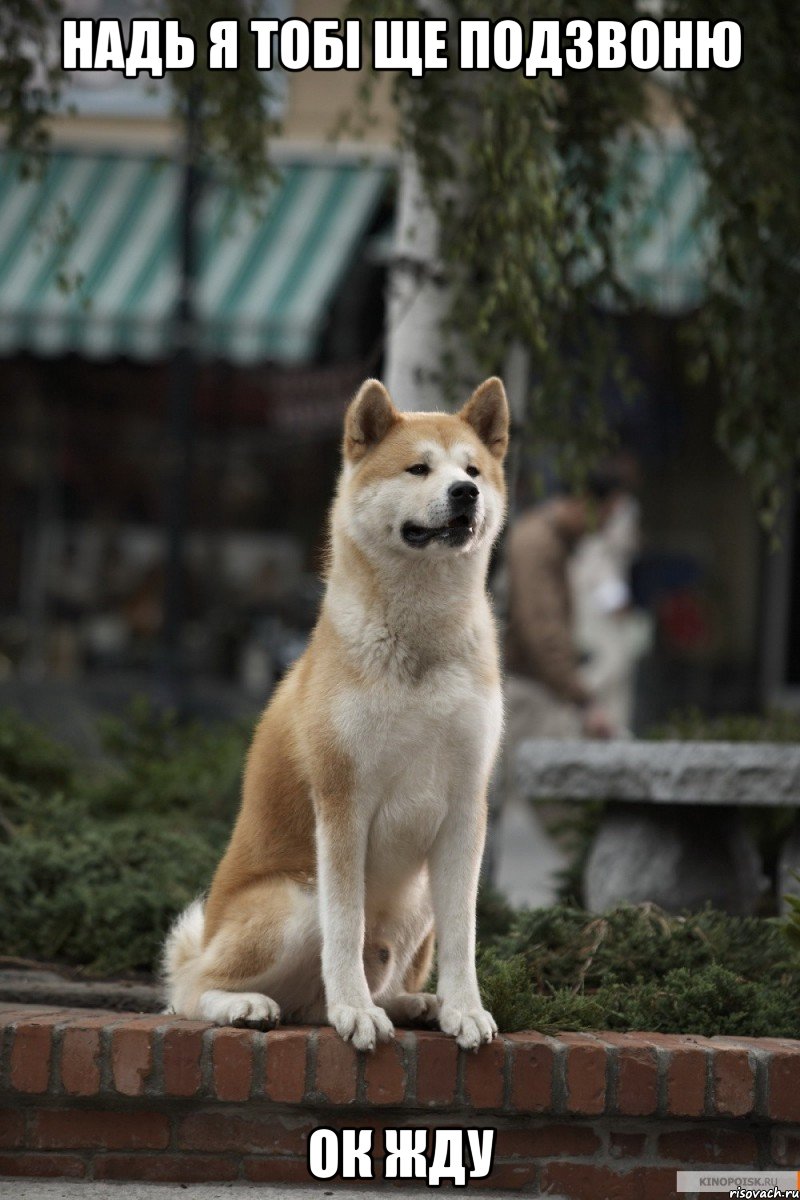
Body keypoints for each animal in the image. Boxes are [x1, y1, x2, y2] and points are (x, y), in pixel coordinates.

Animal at [163, 374, 510, 1051]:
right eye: (418, 468)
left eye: (473, 469)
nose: (466, 493)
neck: (420, 643)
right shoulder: (343, 800)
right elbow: (345, 928)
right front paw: (355, 1011)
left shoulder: (466, 806)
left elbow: (465, 935)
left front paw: (464, 1009)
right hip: (296, 900)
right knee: (189, 990)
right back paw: (250, 1005)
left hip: (416, 900)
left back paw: (414, 1003)